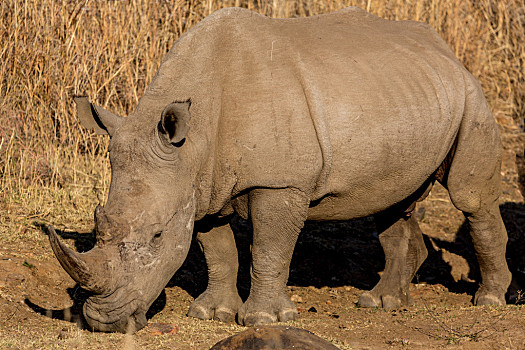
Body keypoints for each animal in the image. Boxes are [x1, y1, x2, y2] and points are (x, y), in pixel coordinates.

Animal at [48, 6, 508, 332]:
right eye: (98, 222)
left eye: (157, 235)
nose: (103, 322)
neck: (192, 145)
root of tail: (445, 50)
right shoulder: (202, 186)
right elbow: (219, 251)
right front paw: (211, 314)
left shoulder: (279, 183)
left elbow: (270, 248)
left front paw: (263, 320)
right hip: (407, 94)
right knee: (394, 202)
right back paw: (382, 303)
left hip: (470, 92)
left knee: (469, 197)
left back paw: (488, 300)